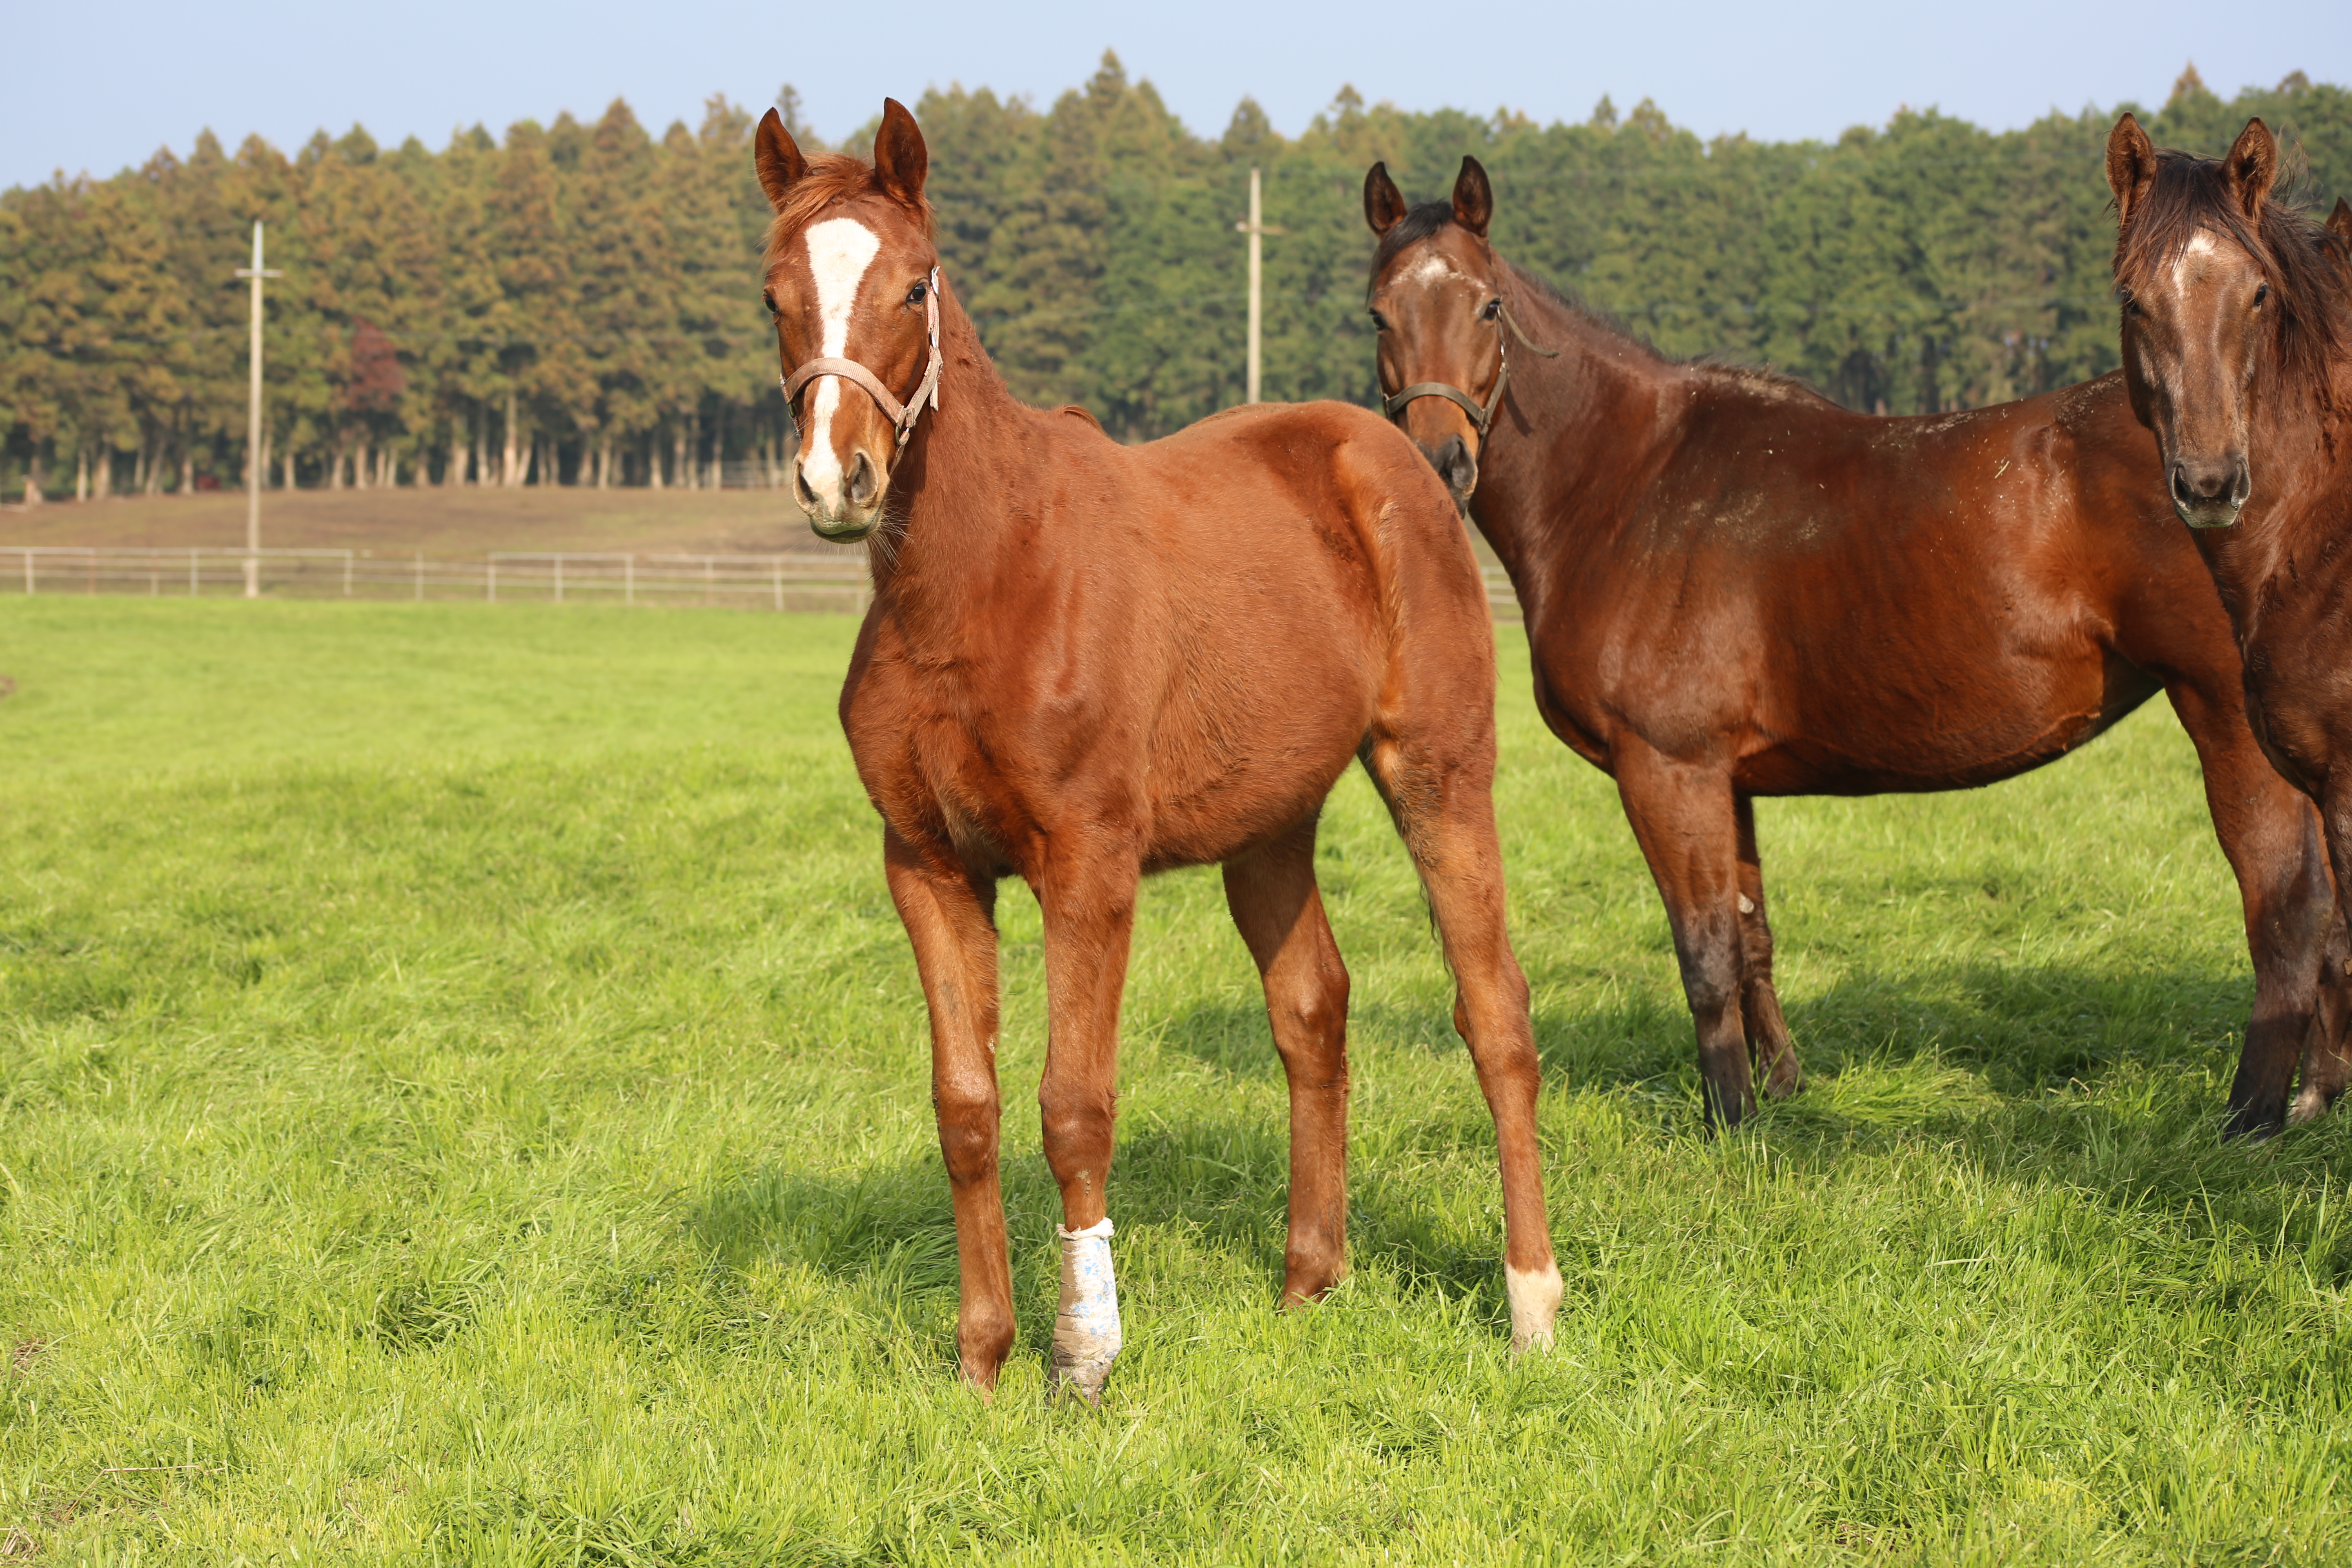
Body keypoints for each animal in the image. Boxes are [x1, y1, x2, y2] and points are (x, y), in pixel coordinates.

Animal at [757, 98, 1561, 1401]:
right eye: (775, 292)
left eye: (913, 283)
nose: (841, 481)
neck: (980, 580)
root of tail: (1404, 459)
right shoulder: (926, 864)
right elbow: (966, 1104)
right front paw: (982, 1357)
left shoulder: (1088, 866)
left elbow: (1072, 1103)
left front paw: (1084, 1353)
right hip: (1268, 824)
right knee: (1312, 1007)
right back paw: (1309, 1279)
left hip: (1439, 774)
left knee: (1494, 1011)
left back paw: (1532, 1301)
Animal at [1364, 156, 2352, 1128]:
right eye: (1377, 311)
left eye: (1488, 306)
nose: (1439, 463)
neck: (1631, 484)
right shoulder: (1725, 779)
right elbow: (1752, 936)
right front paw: (1780, 1094)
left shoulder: (1667, 769)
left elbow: (1706, 953)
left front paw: (1730, 1120)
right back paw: (2316, 1096)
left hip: (2227, 721)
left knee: (2290, 911)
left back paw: (2255, 1117)